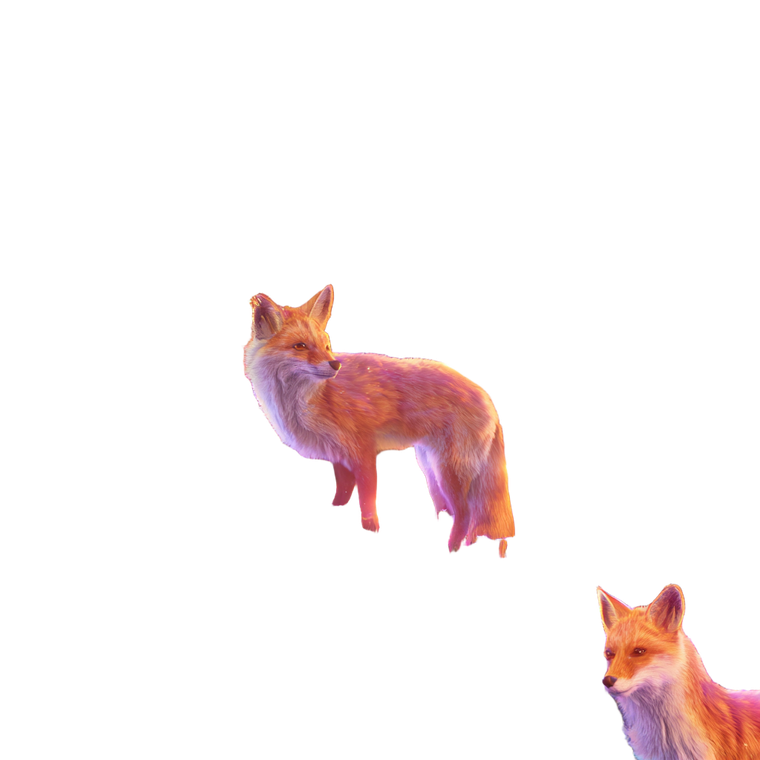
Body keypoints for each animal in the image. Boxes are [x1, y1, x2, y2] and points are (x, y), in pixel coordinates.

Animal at [242, 283, 515, 558]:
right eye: (300, 346)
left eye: (326, 345)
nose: (335, 365)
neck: (312, 399)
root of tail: (486, 395)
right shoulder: (338, 455)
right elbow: (342, 493)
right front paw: (336, 510)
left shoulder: (362, 452)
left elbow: (366, 499)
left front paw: (371, 529)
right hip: (430, 466)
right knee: (460, 512)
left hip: (449, 471)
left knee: (466, 514)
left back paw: (453, 548)